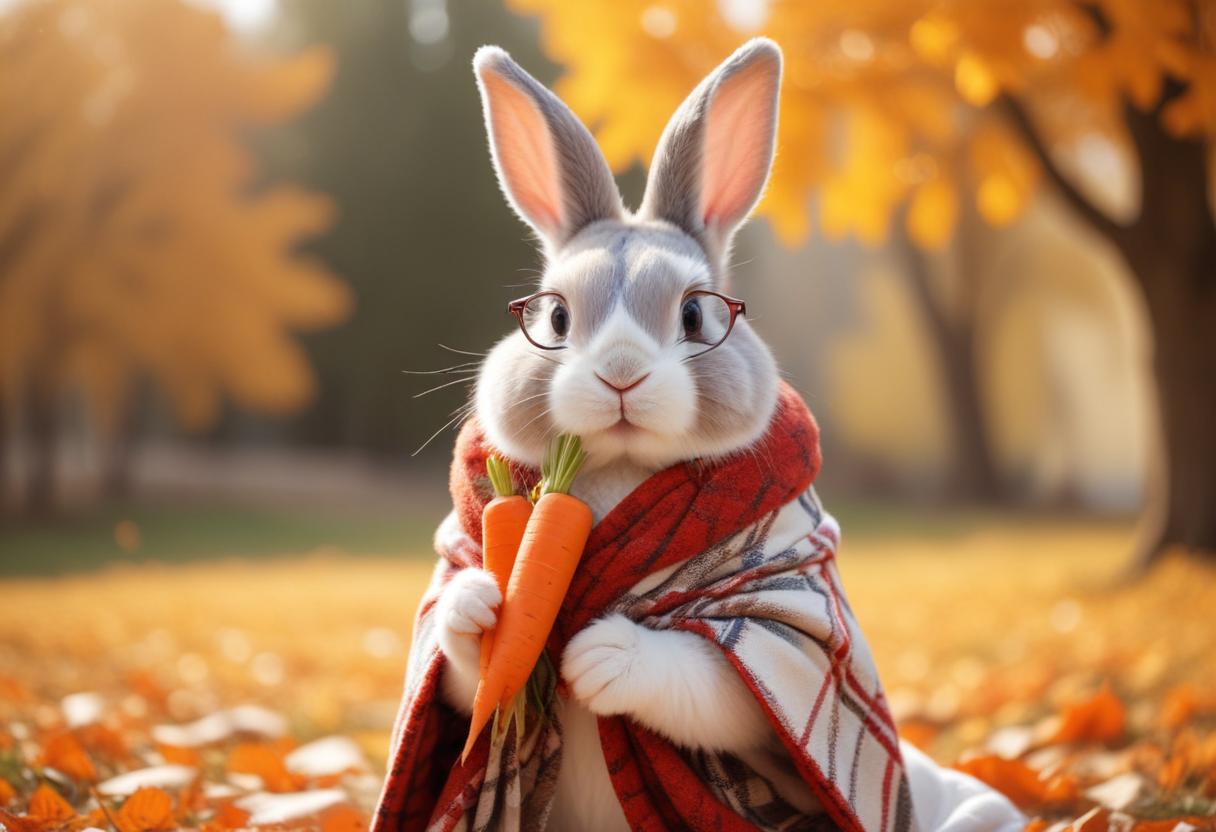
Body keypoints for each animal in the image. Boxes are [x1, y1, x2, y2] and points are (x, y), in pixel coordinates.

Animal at [433, 38, 1026, 832]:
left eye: (694, 316)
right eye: (556, 317)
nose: (621, 373)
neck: (620, 470)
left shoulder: (786, 635)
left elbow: (714, 681)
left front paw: (602, 653)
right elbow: (462, 673)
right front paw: (478, 605)